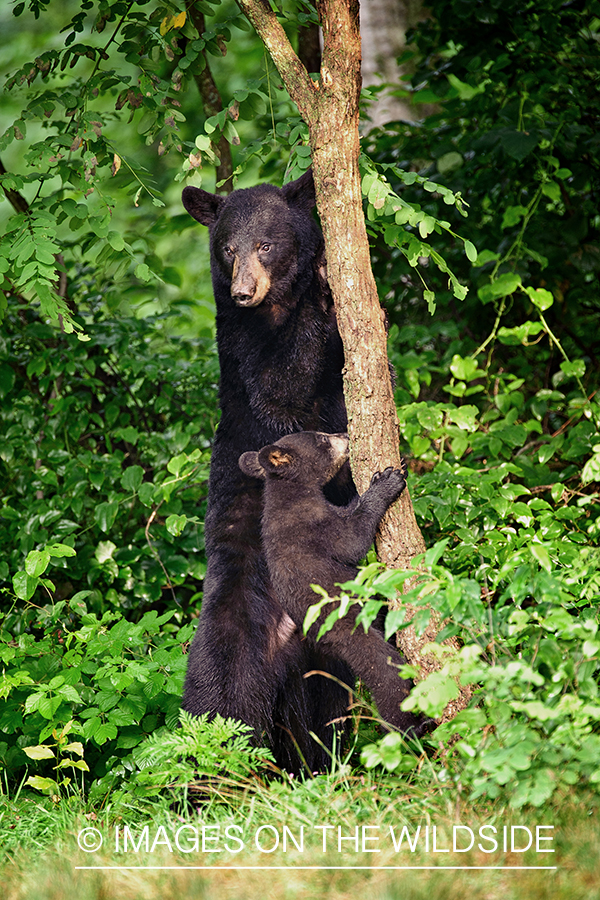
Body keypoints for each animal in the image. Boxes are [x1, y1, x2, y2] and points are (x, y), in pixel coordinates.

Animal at [180, 172, 354, 768]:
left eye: (266, 245)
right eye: (227, 249)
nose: (242, 290)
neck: (273, 308)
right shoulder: (245, 355)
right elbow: (283, 386)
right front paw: (323, 286)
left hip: (322, 662)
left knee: (330, 715)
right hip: (231, 643)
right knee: (220, 710)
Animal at [239, 430, 432, 740]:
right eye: (322, 439)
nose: (345, 434)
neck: (292, 494)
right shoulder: (312, 526)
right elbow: (352, 539)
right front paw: (387, 481)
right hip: (351, 631)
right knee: (387, 674)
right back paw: (411, 728)